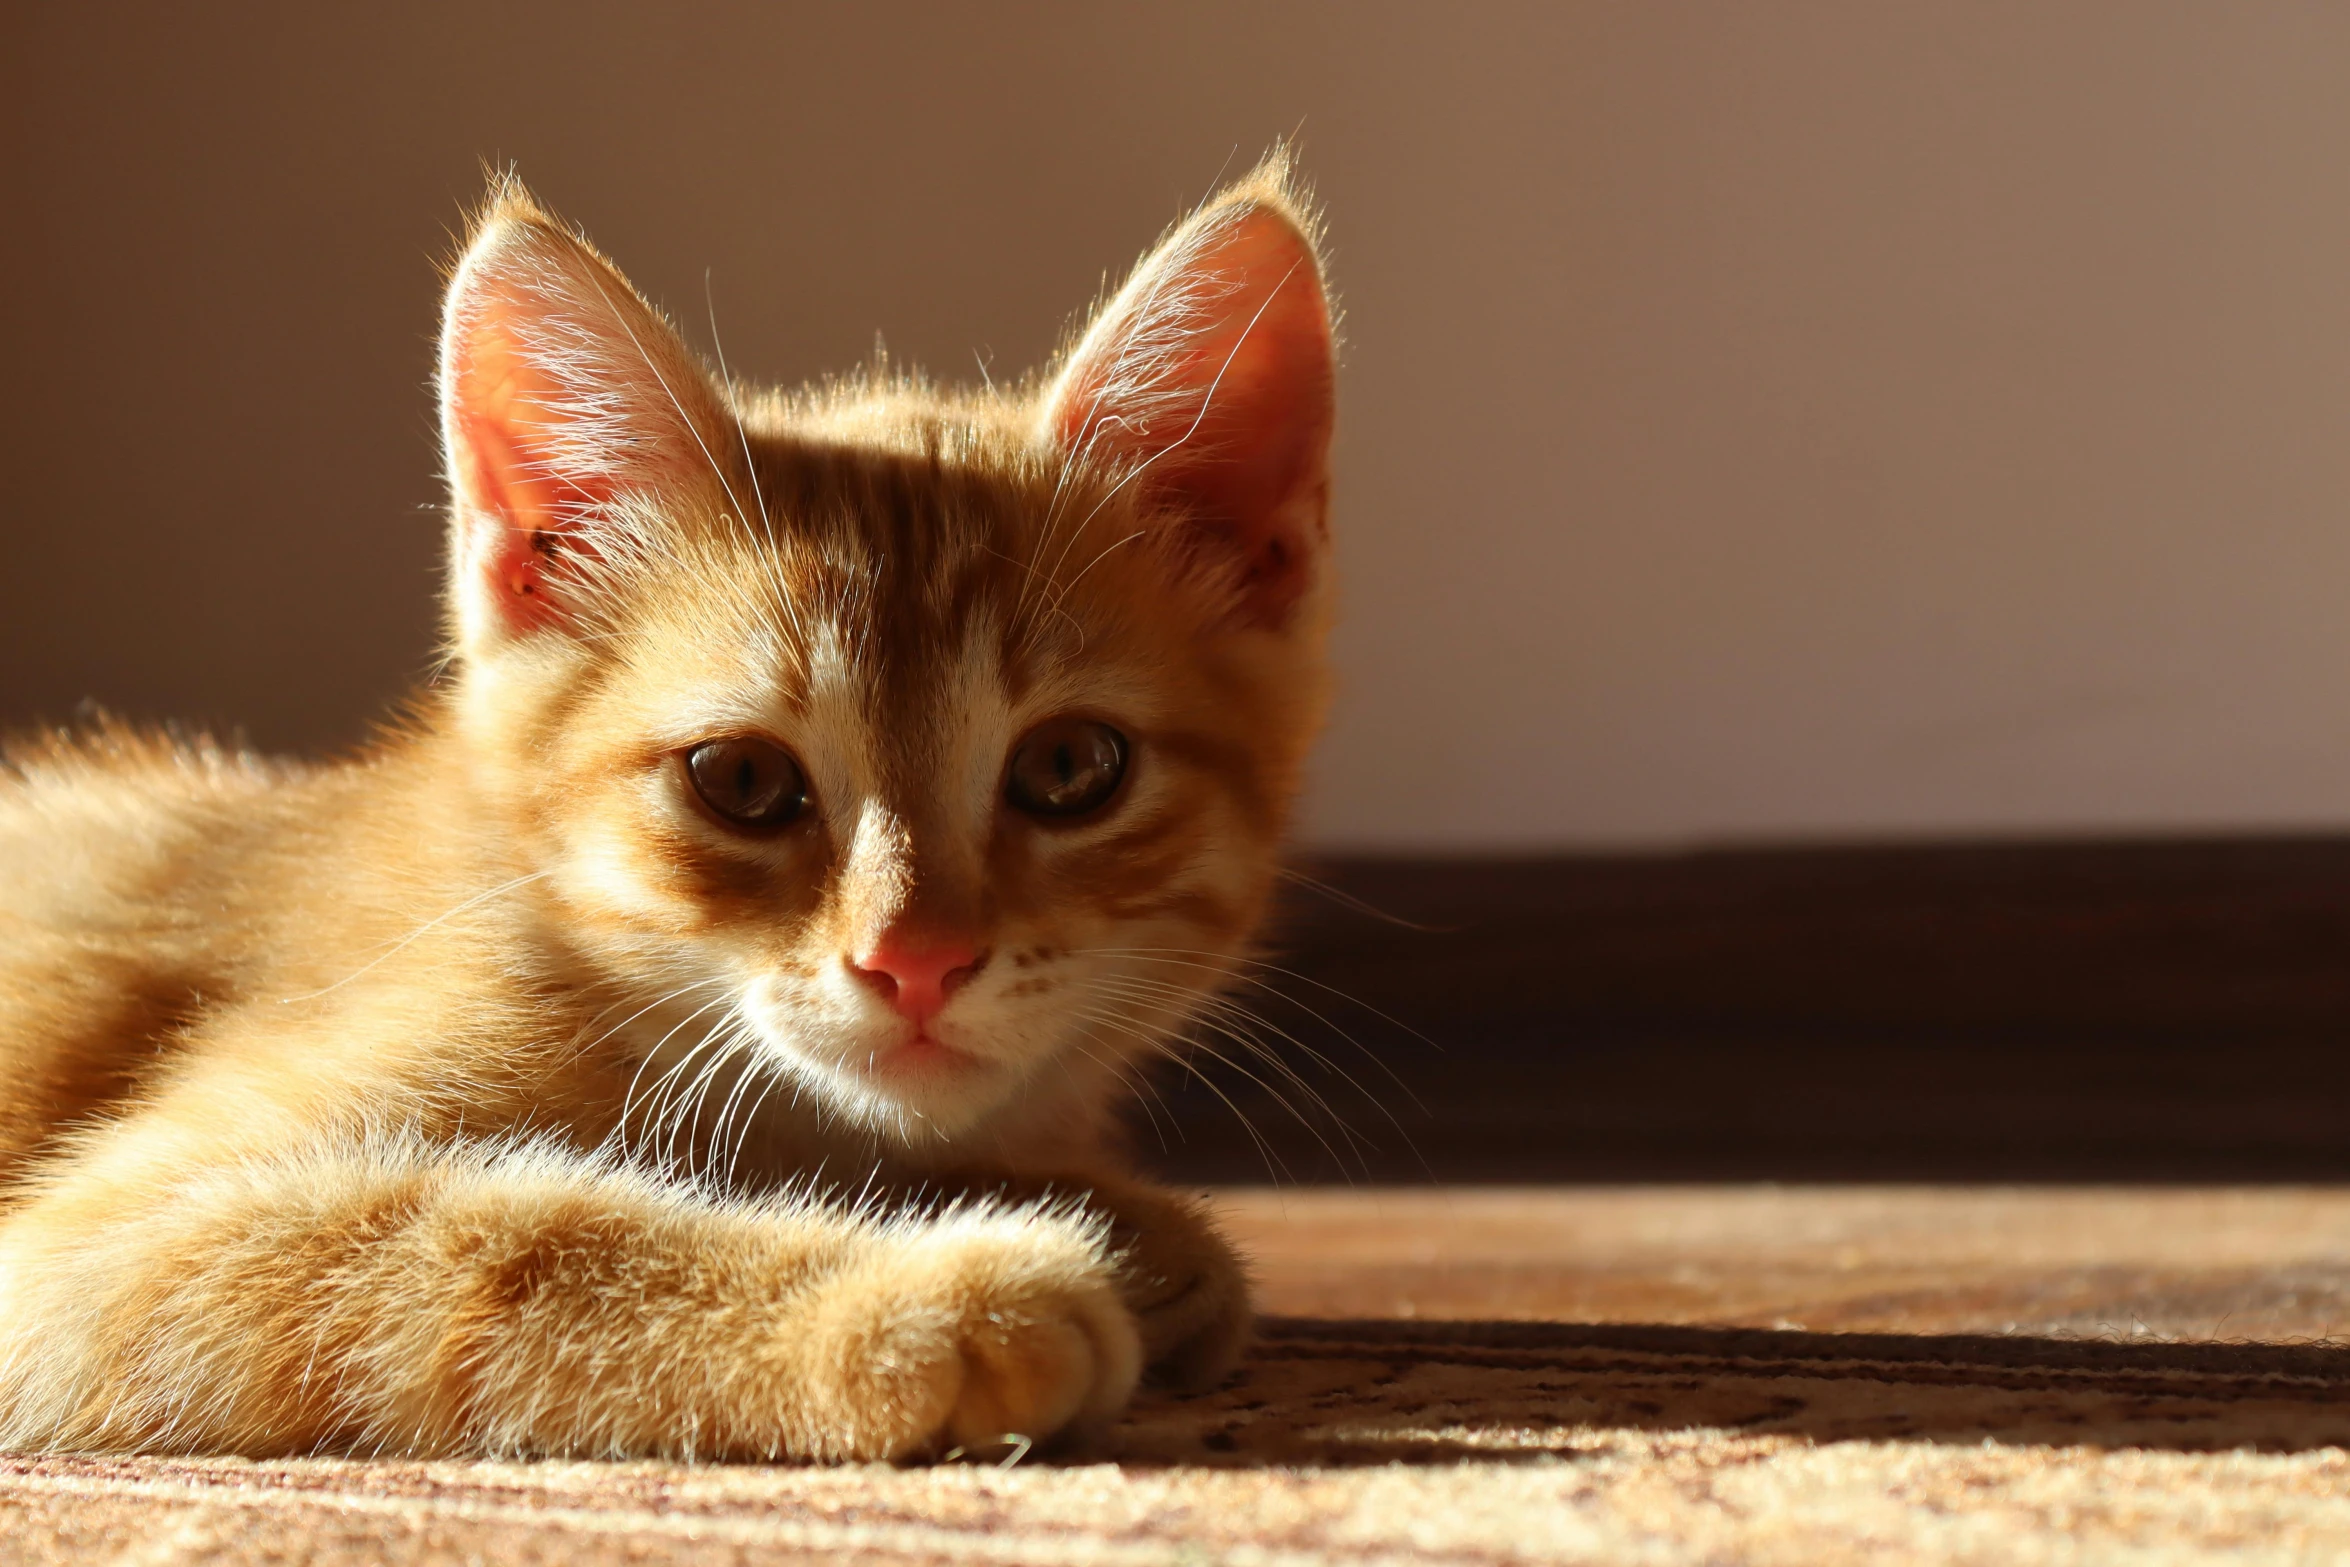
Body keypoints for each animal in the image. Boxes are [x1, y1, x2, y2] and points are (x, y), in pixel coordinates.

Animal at [0, 156, 1334, 1456]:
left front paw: (1122, 1227)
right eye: (740, 782)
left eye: (1069, 767)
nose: (916, 962)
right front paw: (921, 1302)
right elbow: (505, 1246)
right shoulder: (83, 1254)